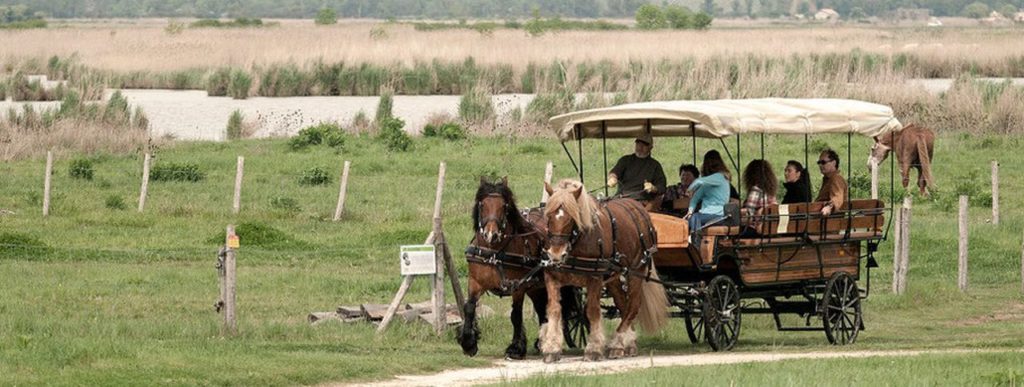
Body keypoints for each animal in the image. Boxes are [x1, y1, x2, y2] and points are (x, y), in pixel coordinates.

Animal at [462, 177, 581, 360]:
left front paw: (515, 348)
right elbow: (469, 308)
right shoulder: (475, 283)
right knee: (541, 310)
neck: (494, 252)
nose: (491, 234)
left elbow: (516, 315)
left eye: (504, 206)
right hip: (536, 287)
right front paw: (468, 343)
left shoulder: (517, 286)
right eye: (482, 204)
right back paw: (541, 342)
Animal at [536, 178, 671, 362]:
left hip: (636, 271)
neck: (577, 242)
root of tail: (638, 207)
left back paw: (617, 344)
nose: (556, 254)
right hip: (613, 278)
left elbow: (592, 311)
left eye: (572, 218)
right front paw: (552, 347)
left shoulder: (594, 279)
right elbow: (554, 310)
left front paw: (593, 348)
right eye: (549, 216)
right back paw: (628, 343)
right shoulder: (552, 277)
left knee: (633, 306)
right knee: (623, 304)